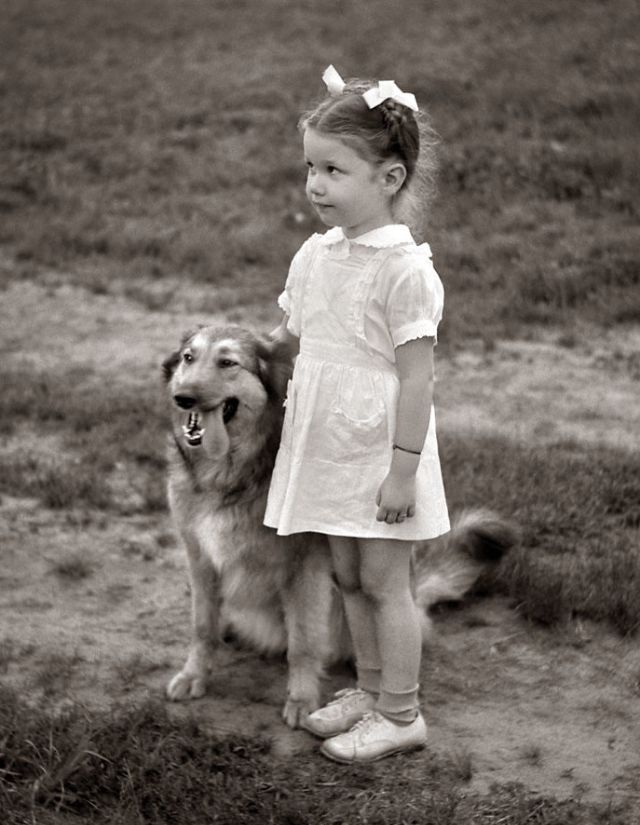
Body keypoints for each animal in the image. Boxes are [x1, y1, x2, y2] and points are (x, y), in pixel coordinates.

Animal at [162, 326, 516, 724]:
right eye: (189, 358)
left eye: (227, 363)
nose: (183, 398)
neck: (229, 475)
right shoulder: (200, 560)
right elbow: (202, 627)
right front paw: (194, 675)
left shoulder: (303, 569)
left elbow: (302, 643)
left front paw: (301, 699)